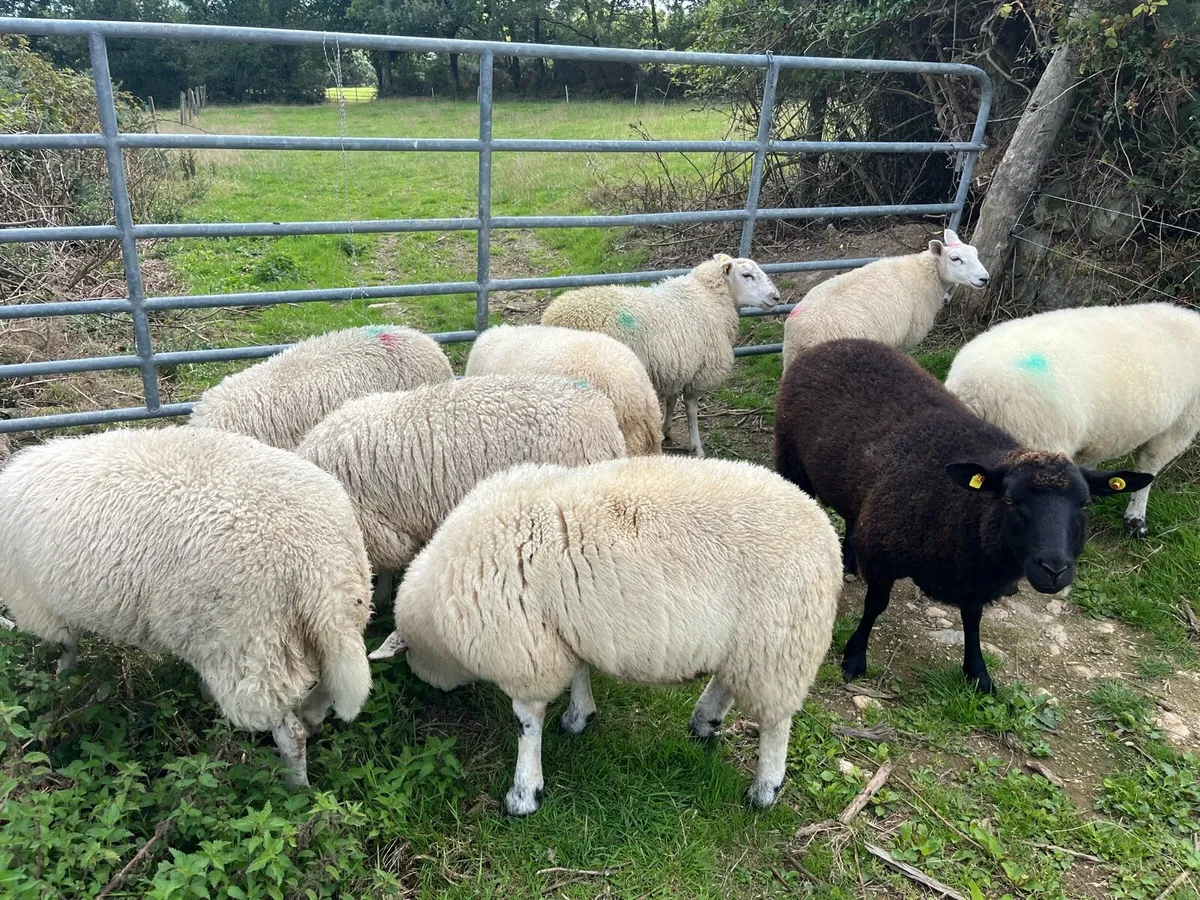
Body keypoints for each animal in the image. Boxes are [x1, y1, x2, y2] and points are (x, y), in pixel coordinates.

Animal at [0, 426, 374, 786]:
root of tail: (317, 561)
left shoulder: (39, 605)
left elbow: (66, 649)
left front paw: (60, 686)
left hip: (252, 647)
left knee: (290, 733)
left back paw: (295, 789)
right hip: (333, 626)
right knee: (329, 686)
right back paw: (309, 721)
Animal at [368, 455, 842, 815]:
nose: (433, 693)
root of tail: (828, 539)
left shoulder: (526, 650)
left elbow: (526, 723)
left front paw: (524, 793)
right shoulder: (561, 630)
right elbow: (579, 673)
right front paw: (579, 716)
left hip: (780, 643)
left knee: (776, 722)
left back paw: (764, 789)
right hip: (749, 642)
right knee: (728, 679)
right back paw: (705, 720)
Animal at [540, 254, 780, 457]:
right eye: (747, 275)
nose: (776, 297)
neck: (710, 298)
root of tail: (555, 317)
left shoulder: (675, 364)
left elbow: (671, 399)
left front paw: (666, 428)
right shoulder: (698, 371)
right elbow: (691, 409)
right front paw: (697, 447)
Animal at [774, 339, 1152, 693]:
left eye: (1083, 504)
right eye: (1010, 500)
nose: (1053, 570)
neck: (965, 507)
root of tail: (838, 342)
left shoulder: (973, 577)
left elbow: (973, 620)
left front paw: (978, 674)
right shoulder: (884, 553)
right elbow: (875, 605)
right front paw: (854, 657)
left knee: (854, 516)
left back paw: (851, 561)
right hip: (791, 458)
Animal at [781, 229, 989, 370]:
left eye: (976, 253)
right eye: (955, 258)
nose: (985, 278)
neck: (926, 274)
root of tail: (803, 336)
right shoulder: (902, 337)